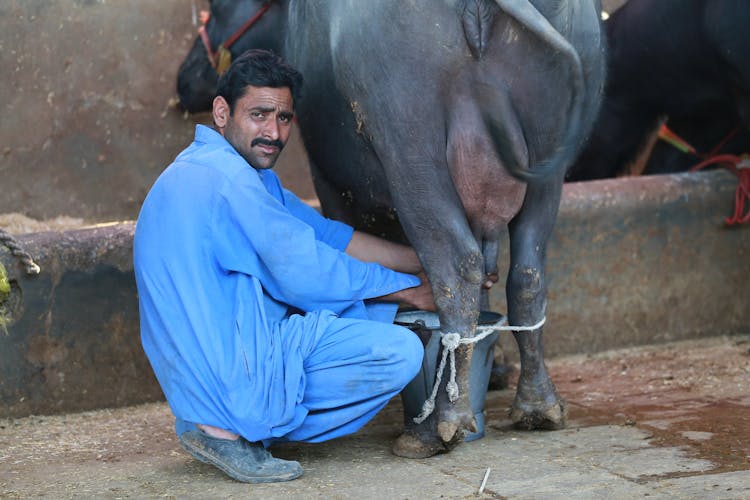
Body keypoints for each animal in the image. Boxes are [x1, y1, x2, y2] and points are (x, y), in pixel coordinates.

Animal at [179, 0, 608, 458]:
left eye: (217, 8)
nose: (184, 77)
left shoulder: (330, 183)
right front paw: (495, 372)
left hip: (411, 152)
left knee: (457, 267)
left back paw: (438, 425)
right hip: (548, 166)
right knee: (526, 274)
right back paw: (538, 405)